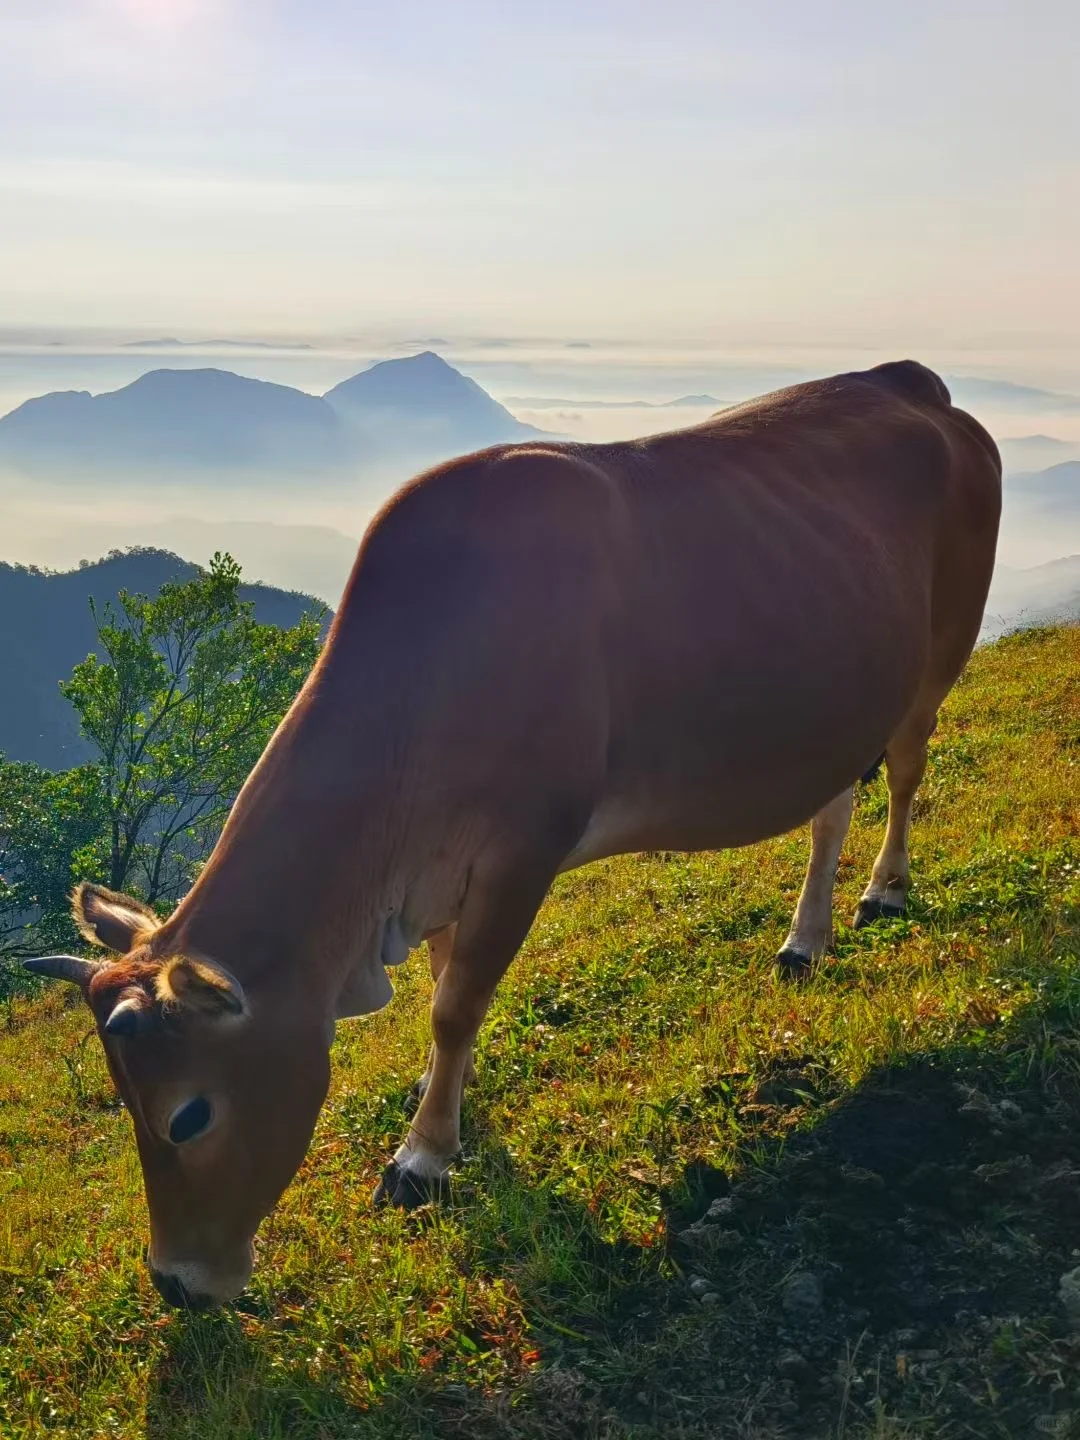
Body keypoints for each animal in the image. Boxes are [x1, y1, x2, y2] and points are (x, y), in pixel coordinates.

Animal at [27, 357, 1008, 1307]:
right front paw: (443, 1102)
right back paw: (806, 939)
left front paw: (422, 1156)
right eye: (123, 1101)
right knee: (832, 806)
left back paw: (886, 890)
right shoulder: (441, 874)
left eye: (189, 1114)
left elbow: (456, 1002)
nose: (176, 1284)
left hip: (939, 655)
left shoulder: (522, 851)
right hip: (836, 702)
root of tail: (913, 381)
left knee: (908, 771)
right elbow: (443, 989)